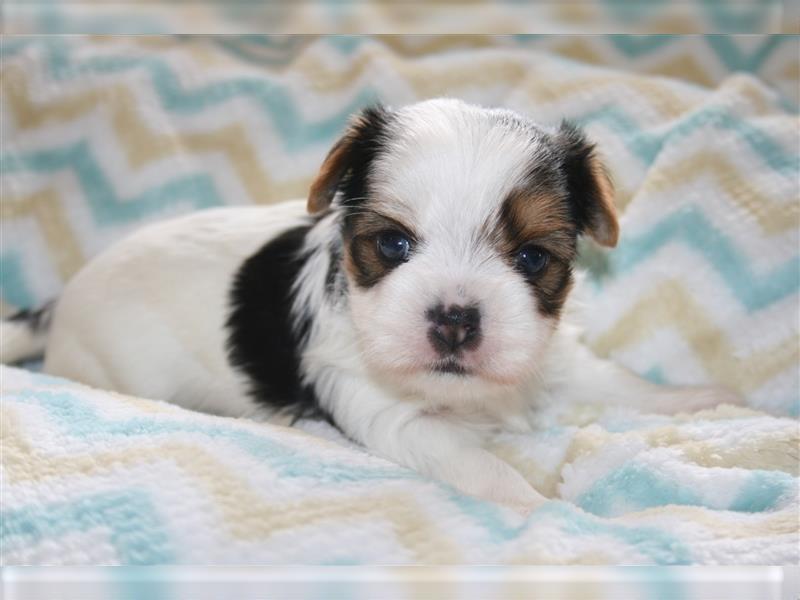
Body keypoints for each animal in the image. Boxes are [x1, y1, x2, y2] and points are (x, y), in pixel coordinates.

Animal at [1, 98, 736, 510]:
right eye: (393, 244)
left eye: (531, 259)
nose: (454, 318)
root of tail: (59, 304)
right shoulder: (386, 411)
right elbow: (479, 465)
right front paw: (548, 511)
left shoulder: (543, 354)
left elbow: (609, 379)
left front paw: (695, 399)